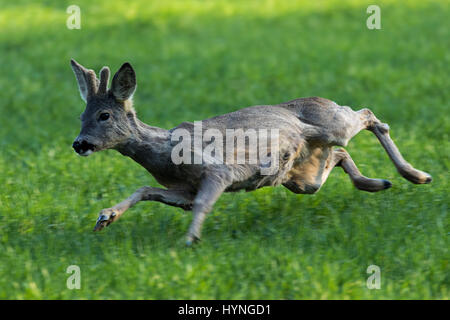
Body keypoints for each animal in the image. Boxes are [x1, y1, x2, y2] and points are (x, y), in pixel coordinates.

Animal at [70, 59, 432, 245]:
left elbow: (203, 203)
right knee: (338, 157)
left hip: (332, 126)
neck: (165, 151)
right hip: (301, 177)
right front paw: (105, 218)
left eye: (104, 116)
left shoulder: (219, 171)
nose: (79, 143)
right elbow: (145, 189)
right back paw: (379, 183)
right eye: (81, 115)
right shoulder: (184, 190)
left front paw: (190, 240)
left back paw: (417, 175)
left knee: (368, 116)